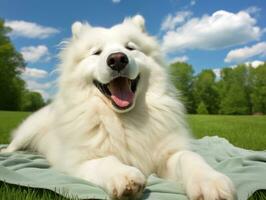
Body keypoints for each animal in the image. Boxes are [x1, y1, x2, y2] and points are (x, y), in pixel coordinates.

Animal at [2, 15, 235, 200]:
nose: (117, 59)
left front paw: (210, 181)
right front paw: (125, 176)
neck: (124, 118)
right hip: (28, 131)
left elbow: (189, 158)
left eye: (130, 48)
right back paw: (7, 152)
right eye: (97, 52)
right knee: (14, 144)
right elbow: (106, 160)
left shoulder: (169, 154)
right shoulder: (77, 161)